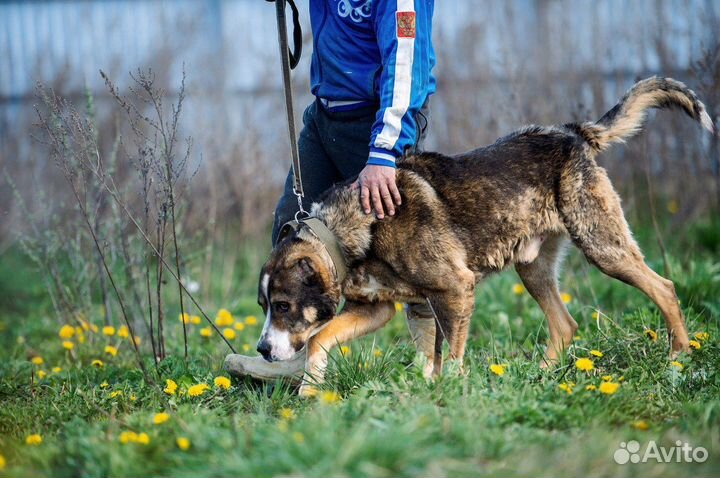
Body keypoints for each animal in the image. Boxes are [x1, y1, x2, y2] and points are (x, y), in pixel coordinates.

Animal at [253, 76, 716, 396]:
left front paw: (448, 394)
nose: (261, 350)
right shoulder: (378, 308)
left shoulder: (454, 290)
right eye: (263, 306)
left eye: (283, 305)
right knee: (565, 324)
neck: (351, 230)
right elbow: (321, 337)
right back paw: (542, 376)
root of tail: (572, 132)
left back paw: (678, 356)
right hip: (533, 267)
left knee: (664, 287)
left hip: (602, 245)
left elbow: (452, 359)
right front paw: (310, 390)